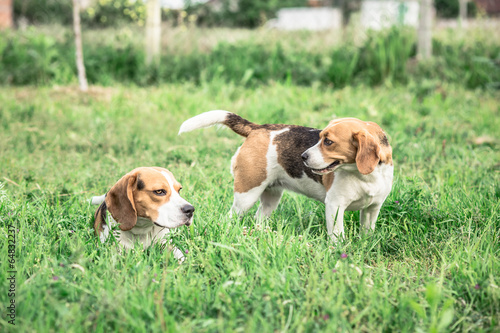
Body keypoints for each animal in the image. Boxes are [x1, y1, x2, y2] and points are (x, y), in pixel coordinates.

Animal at [180, 110, 394, 240]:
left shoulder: (373, 208)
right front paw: (339, 250)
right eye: (320, 137)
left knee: (259, 217)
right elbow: (337, 234)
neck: (364, 177)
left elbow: (368, 230)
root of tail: (258, 128)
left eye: (328, 142)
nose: (303, 156)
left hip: (271, 197)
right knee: (230, 217)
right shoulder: (335, 206)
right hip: (246, 194)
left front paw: (365, 243)